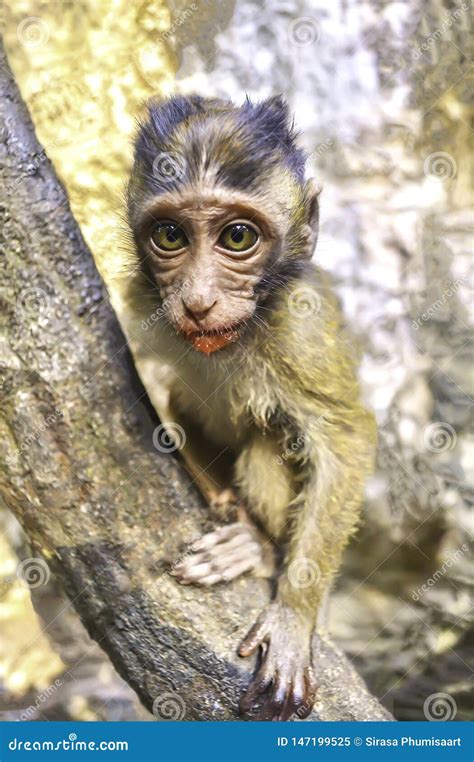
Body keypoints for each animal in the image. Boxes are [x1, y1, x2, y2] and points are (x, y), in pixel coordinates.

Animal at [127, 95, 378, 720]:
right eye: (170, 235)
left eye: (238, 238)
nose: (197, 300)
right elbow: (177, 403)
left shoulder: (300, 324)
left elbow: (346, 439)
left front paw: (292, 617)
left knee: (268, 441)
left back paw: (259, 548)